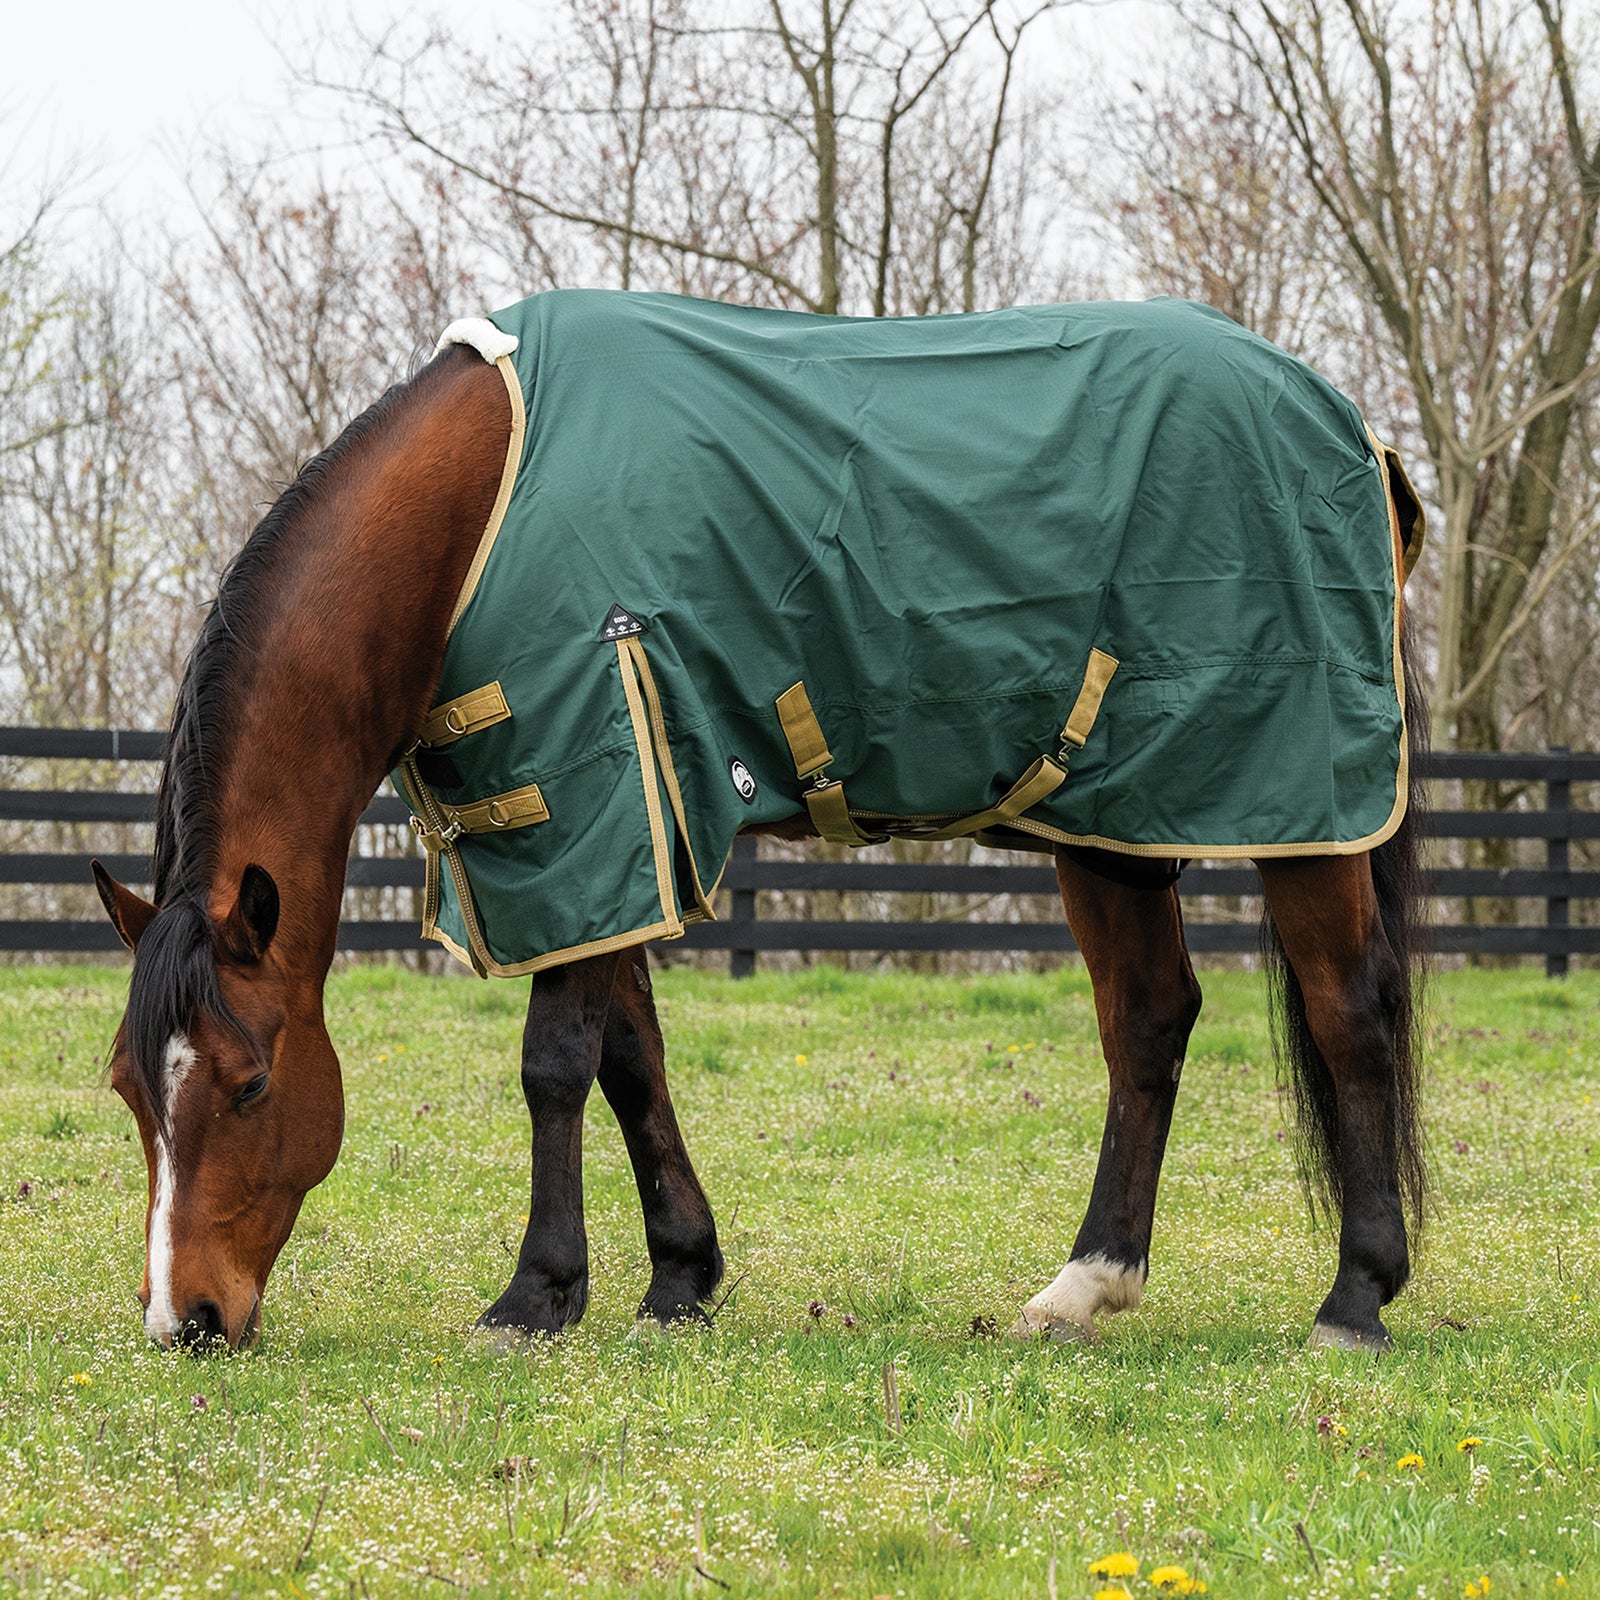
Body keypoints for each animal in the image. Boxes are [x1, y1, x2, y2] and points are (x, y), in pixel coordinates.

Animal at [92, 291, 1428, 1354]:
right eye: (128, 1091)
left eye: (251, 1084)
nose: (185, 1319)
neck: (477, 513)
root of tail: (1347, 424)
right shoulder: (605, 838)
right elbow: (629, 1057)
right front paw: (678, 1278)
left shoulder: (595, 797)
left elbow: (554, 1062)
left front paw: (536, 1296)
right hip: (1115, 828)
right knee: (1148, 1023)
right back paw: (1082, 1287)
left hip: (1305, 808)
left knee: (1349, 1012)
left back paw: (1354, 1299)